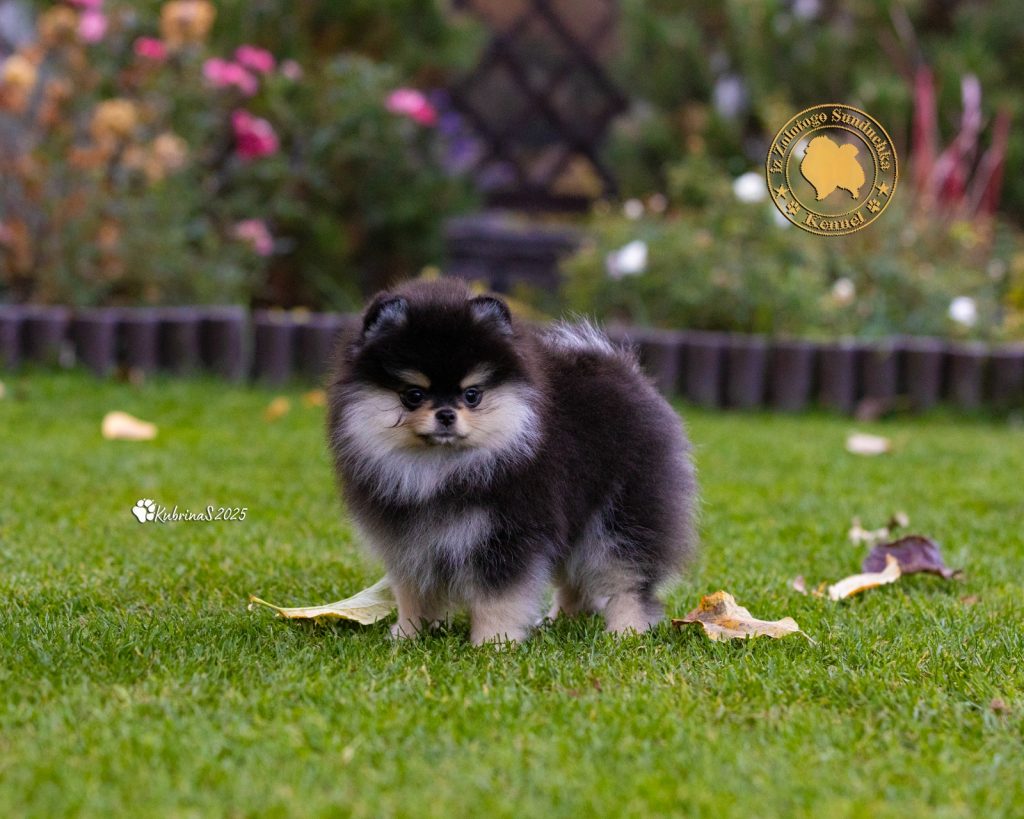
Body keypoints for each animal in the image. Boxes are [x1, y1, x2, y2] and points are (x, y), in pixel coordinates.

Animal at [327, 278, 697, 644]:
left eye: (472, 395)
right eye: (413, 395)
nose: (446, 414)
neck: (440, 470)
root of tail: (623, 369)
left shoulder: (505, 534)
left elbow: (498, 598)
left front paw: (493, 643)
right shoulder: (410, 542)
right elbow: (412, 593)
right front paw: (407, 635)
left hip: (621, 514)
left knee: (628, 577)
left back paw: (626, 632)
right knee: (574, 577)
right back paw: (562, 619)